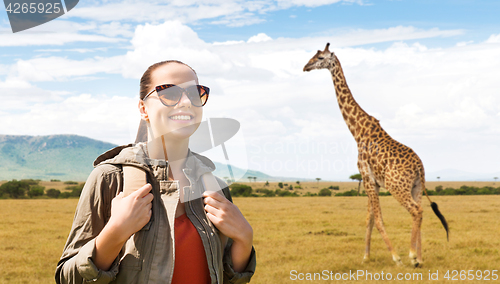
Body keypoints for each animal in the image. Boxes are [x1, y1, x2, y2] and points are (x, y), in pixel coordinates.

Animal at [302, 42, 452, 266]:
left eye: (320, 58)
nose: (305, 66)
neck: (357, 131)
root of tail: (420, 167)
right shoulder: (372, 181)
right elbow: (369, 219)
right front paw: (366, 256)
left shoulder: (366, 177)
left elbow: (378, 219)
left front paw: (395, 257)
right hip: (416, 187)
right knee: (421, 211)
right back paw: (419, 258)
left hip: (397, 187)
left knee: (416, 211)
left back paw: (411, 255)